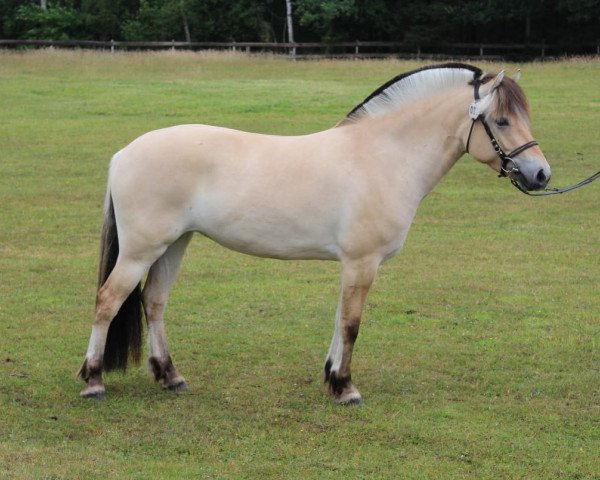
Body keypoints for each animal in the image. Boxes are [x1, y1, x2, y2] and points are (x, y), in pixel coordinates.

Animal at [79, 62, 552, 404]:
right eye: (502, 121)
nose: (541, 175)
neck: (382, 155)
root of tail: (124, 153)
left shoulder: (352, 265)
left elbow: (339, 319)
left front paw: (331, 377)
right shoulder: (362, 263)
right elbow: (351, 323)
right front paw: (345, 387)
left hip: (173, 244)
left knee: (154, 301)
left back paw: (171, 376)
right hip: (141, 249)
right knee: (108, 300)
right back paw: (93, 381)